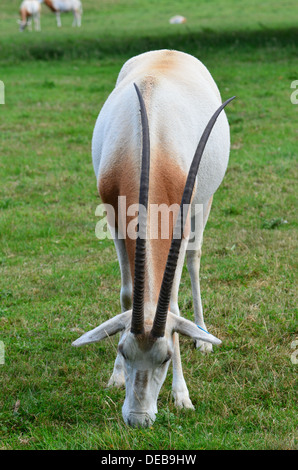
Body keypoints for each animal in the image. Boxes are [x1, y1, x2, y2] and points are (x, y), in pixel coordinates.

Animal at [73, 49, 235, 428]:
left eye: (165, 357)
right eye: (123, 349)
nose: (138, 419)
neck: (147, 145)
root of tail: (169, 52)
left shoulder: (181, 224)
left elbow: (173, 304)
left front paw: (182, 396)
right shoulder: (115, 221)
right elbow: (127, 295)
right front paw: (115, 376)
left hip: (204, 203)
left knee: (194, 260)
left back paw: (203, 335)